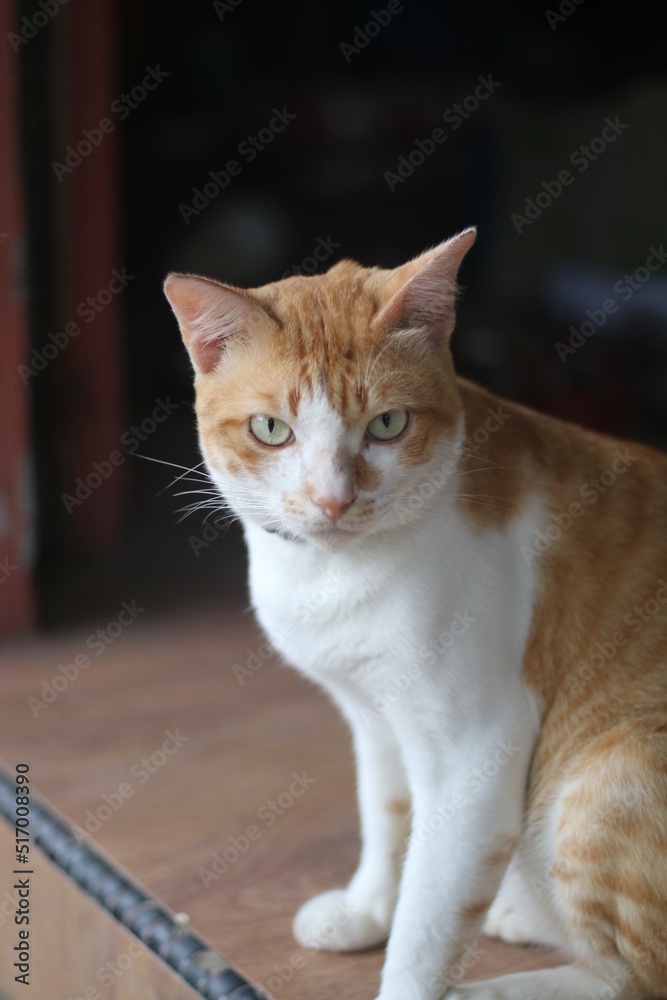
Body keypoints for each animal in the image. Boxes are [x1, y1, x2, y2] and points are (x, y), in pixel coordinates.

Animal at [166, 230, 667, 996]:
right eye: (271, 429)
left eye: (388, 424)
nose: (333, 499)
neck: (337, 577)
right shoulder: (374, 718)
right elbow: (387, 818)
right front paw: (368, 910)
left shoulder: (474, 754)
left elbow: (429, 916)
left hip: (613, 771)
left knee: (629, 977)